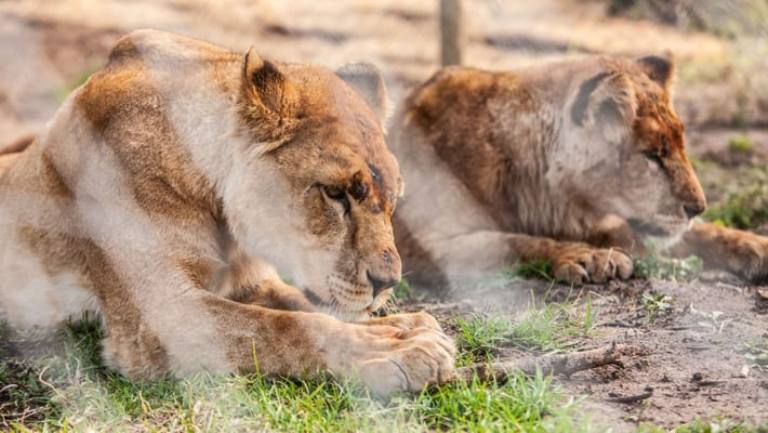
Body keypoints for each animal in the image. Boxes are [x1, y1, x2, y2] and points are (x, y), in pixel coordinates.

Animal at [0, 30, 454, 396]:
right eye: (335, 193)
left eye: (393, 199)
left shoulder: (250, 282)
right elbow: (284, 326)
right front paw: (399, 349)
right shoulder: (159, 315)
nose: (387, 283)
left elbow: (301, 305)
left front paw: (407, 327)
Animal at [391, 54, 768, 289]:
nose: (697, 208)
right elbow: (514, 241)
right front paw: (586, 256)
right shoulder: (418, 242)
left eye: (680, 146)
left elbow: (704, 234)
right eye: (652, 156)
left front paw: (756, 244)